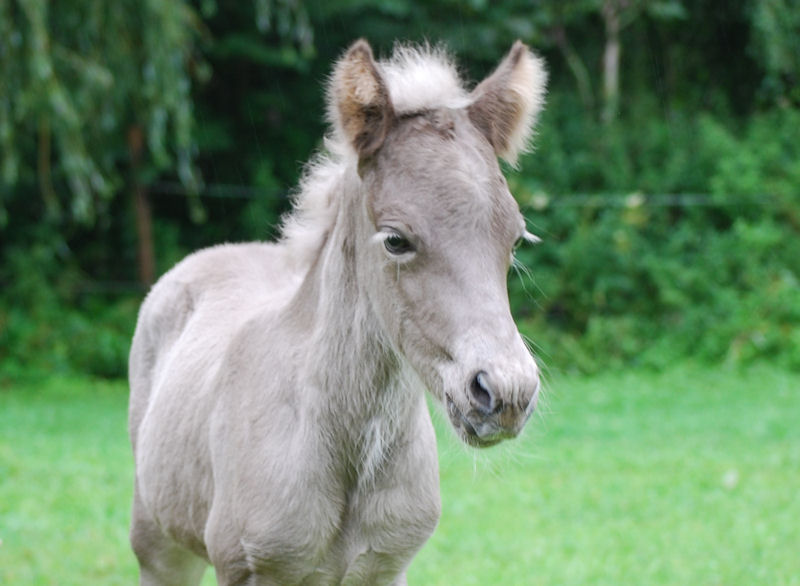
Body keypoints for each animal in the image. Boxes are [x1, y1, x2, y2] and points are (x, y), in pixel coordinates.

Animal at [128, 38, 548, 580]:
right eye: (395, 240)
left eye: (515, 239)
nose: (506, 392)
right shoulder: (249, 568)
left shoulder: (388, 568)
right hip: (158, 543)